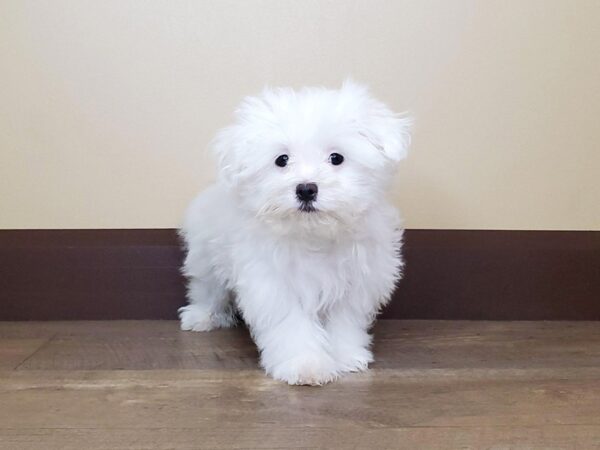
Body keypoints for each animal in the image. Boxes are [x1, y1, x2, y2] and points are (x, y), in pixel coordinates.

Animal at [178, 80, 412, 384]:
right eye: (282, 160)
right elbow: (291, 324)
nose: (306, 189)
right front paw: (304, 364)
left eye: (336, 158)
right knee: (207, 286)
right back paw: (202, 316)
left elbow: (343, 321)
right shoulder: (273, 283)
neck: (313, 234)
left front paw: (344, 356)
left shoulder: (356, 281)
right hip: (207, 253)